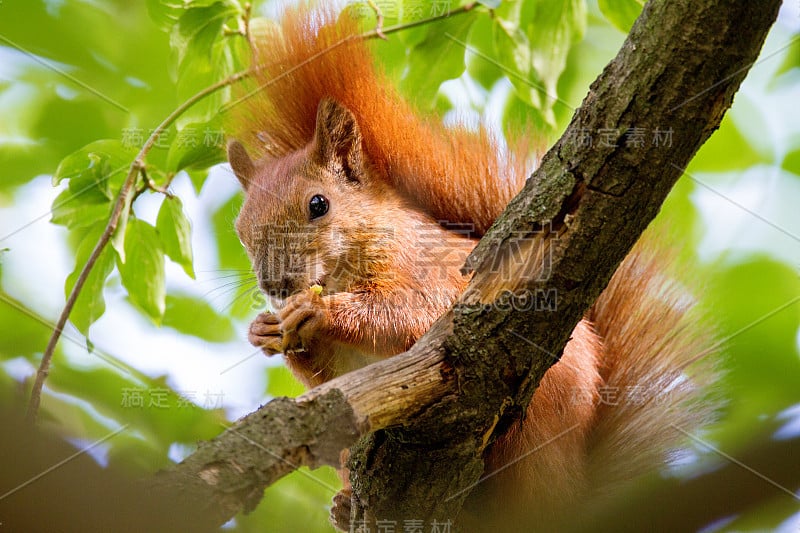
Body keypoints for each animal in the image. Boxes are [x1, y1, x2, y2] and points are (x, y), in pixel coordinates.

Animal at [223, 3, 712, 528]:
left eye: (319, 205)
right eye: (241, 229)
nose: (276, 284)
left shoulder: (425, 274)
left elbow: (405, 319)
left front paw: (318, 313)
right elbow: (326, 383)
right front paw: (265, 331)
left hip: (540, 422)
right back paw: (346, 503)